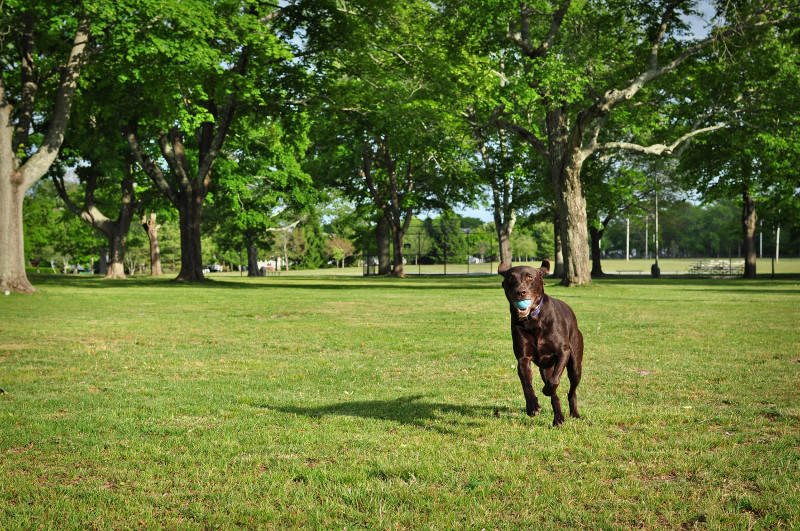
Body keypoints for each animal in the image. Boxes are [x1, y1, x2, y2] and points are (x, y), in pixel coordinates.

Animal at [496, 260, 584, 426]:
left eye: (530, 277)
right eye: (511, 278)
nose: (520, 292)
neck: (533, 320)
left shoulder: (563, 352)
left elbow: (554, 381)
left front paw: (546, 390)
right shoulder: (523, 358)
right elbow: (526, 383)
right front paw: (532, 406)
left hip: (575, 365)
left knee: (571, 390)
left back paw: (574, 413)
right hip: (545, 368)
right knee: (555, 393)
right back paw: (558, 418)